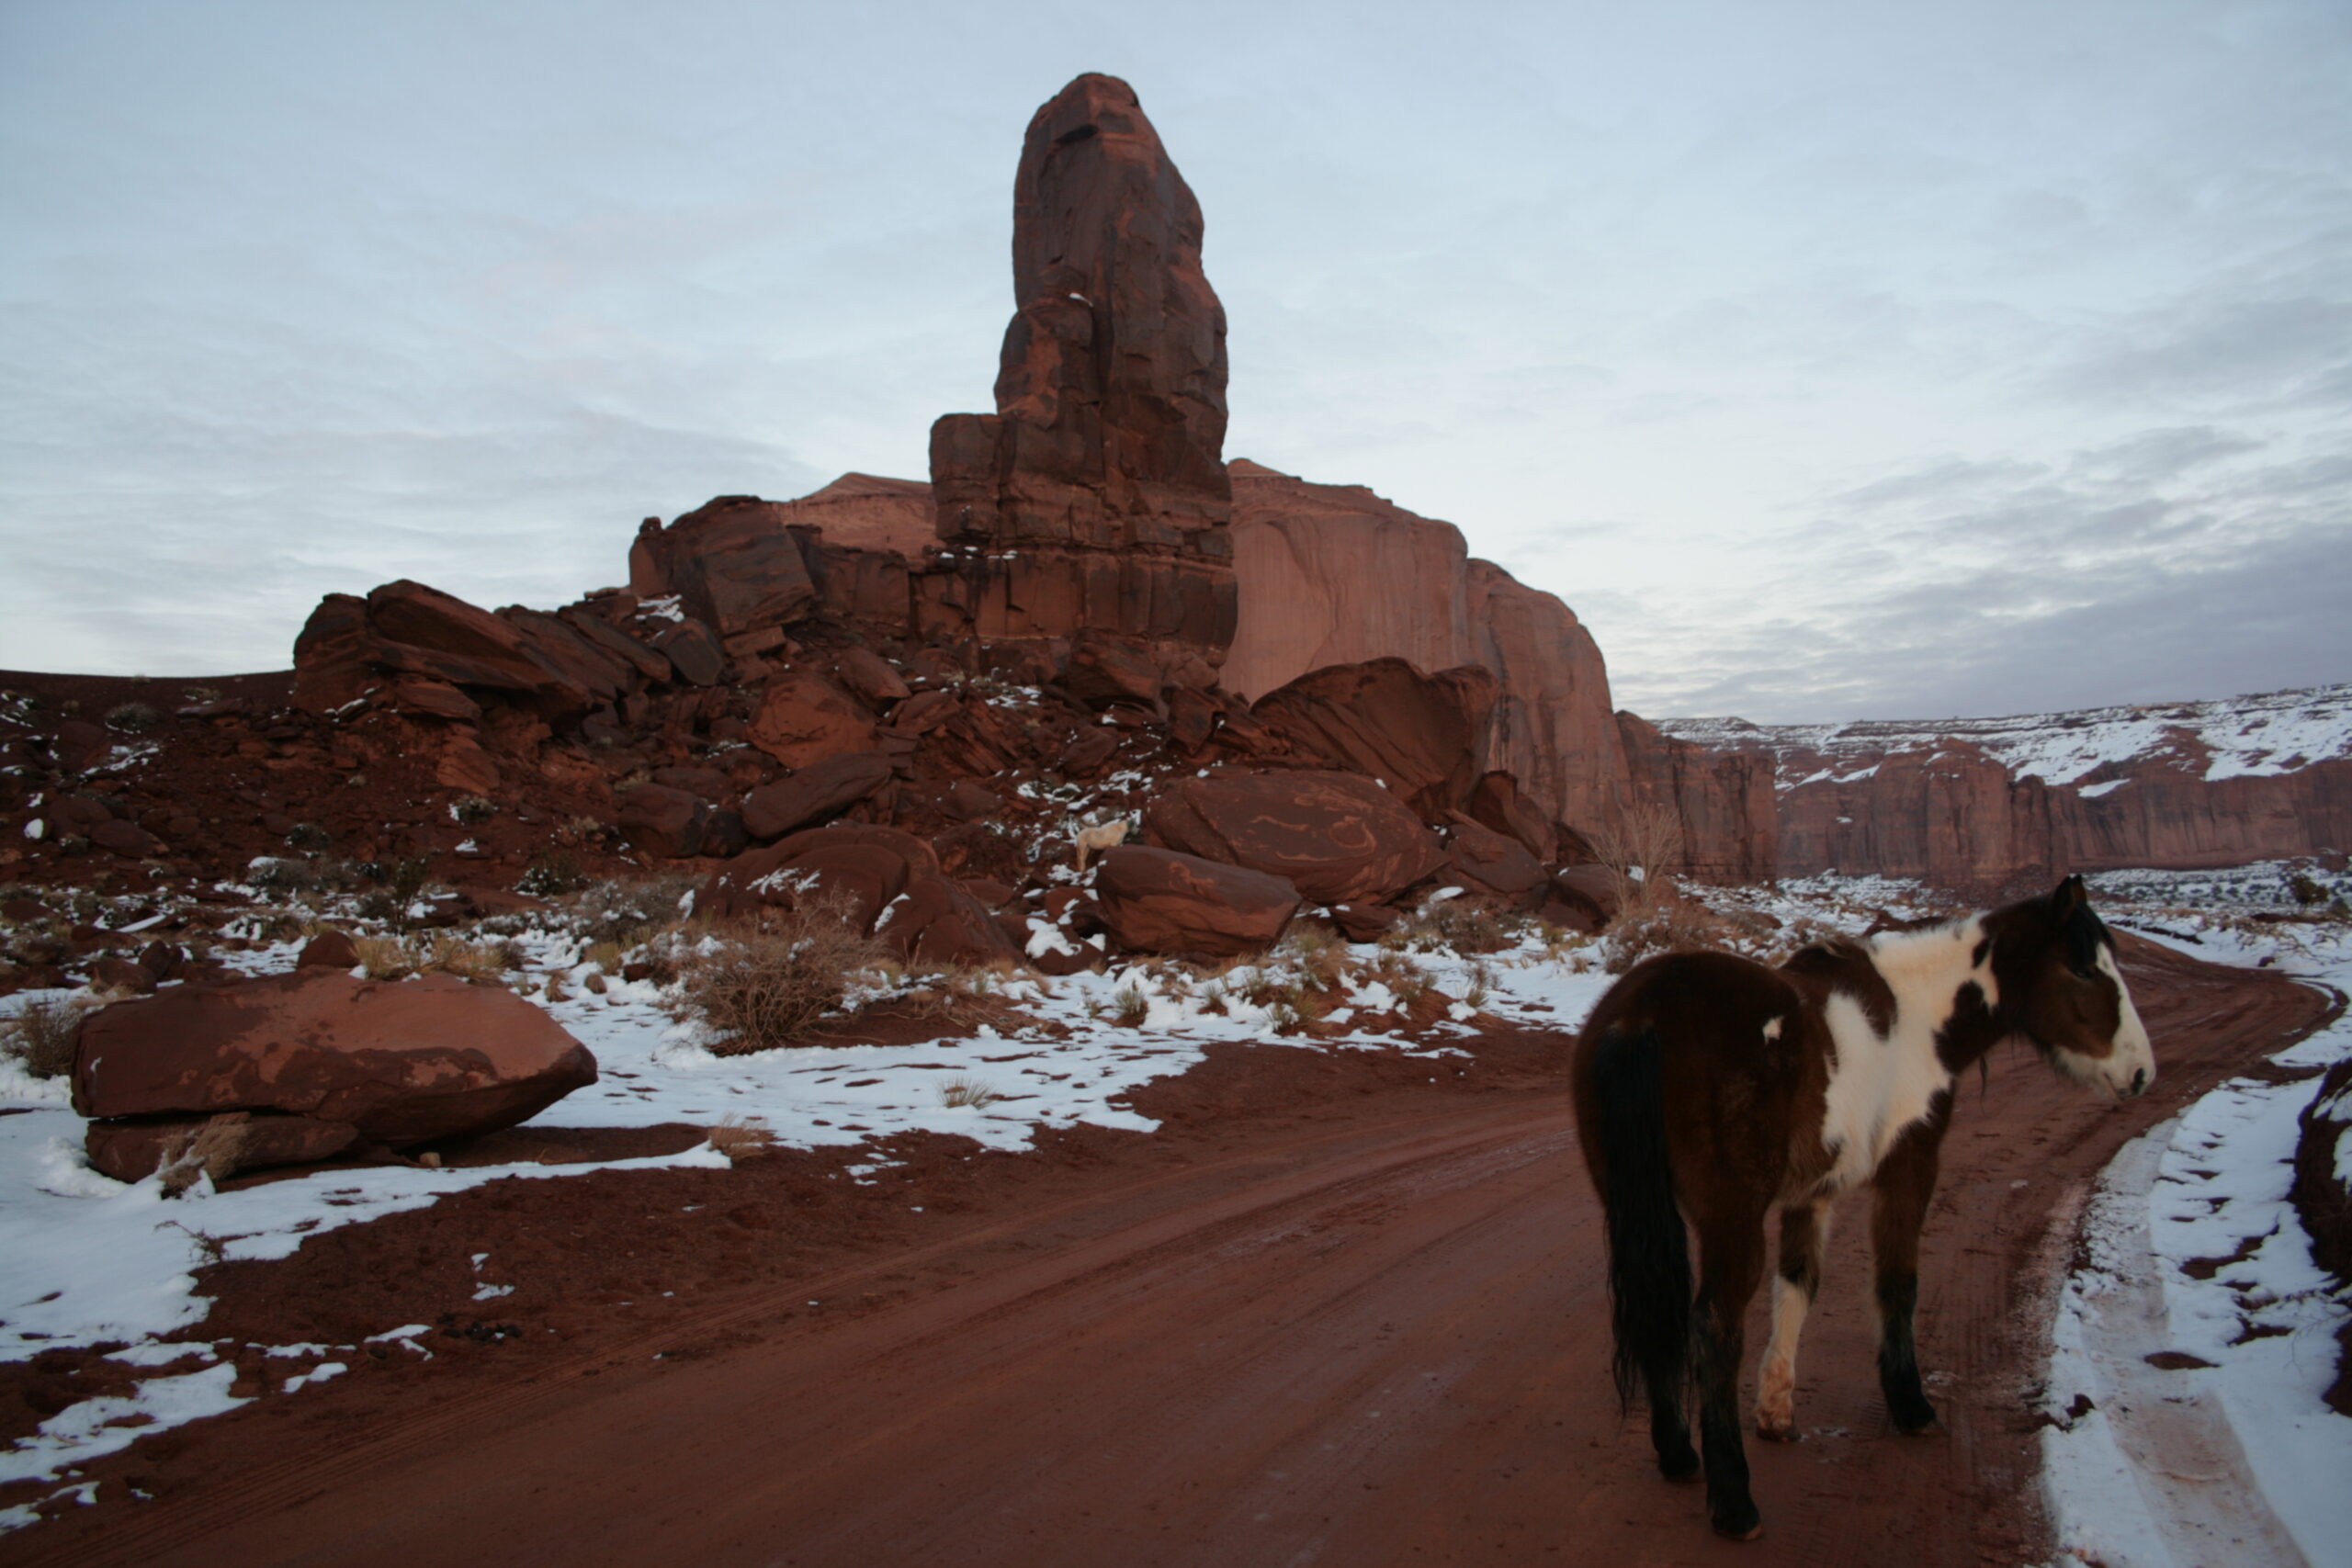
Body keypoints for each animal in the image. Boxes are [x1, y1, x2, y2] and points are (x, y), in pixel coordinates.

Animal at [1571, 879, 2154, 1541]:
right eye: (2083, 969)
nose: (2141, 1072)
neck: (1917, 1015)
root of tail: (1637, 1017)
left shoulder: (1812, 1194)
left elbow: (1798, 1287)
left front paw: (1776, 1411)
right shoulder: (1910, 1165)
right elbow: (1898, 1283)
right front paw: (1910, 1403)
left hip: (1634, 1206)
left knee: (1656, 1313)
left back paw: (1677, 1454)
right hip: (1730, 1220)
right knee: (1712, 1328)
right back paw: (1735, 1502)